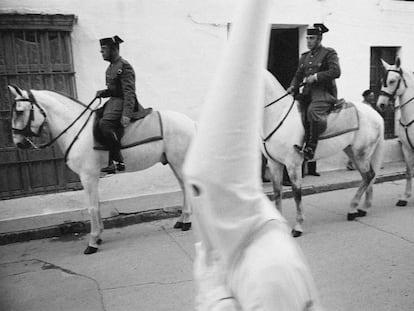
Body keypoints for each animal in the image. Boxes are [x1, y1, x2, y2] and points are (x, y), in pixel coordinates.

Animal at [8, 84, 196, 254]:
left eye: (19, 111)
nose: (18, 142)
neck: (78, 131)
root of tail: (189, 121)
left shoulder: (87, 177)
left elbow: (91, 207)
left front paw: (92, 242)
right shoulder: (93, 177)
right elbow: (97, 204)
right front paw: (98, 236)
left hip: (178, 162)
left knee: (186, 187)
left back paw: (186, 222)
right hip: (173, 162)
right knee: (183, 188)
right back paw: (182, 220)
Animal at [262, 70, 384, 236]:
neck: (278, 115)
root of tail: (374, 113)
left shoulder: (293, 164)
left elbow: (296, 194)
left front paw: (298, 227)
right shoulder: (274, 163)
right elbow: (277, 192)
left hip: (361, 154)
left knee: (369, 176)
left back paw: (352, 209)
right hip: (353, 153)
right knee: (367, 177)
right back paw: (362, 209)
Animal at [376, 58, 414, 207]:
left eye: (392, 81)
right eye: (382, 80)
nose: (380, 104)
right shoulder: (407, 149)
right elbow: (409, 172)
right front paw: (404, 197)